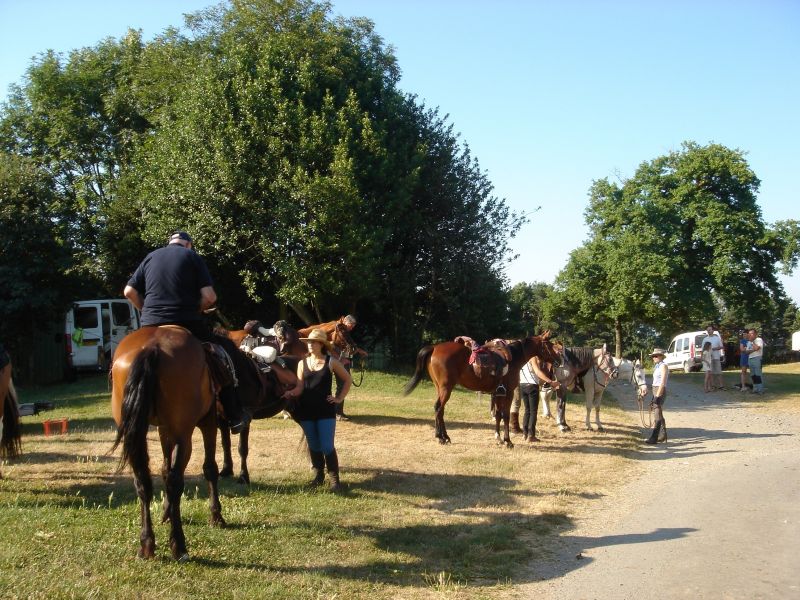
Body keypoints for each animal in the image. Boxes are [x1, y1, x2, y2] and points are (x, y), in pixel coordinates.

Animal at [108, 326, 223, 560]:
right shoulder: (208, 421)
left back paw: (146, 544)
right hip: (183, 433)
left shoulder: (164, 428)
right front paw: (216, 516)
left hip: (138, 434)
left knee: (143, 481)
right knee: (175, 481)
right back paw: (179, 545)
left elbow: (163, 468)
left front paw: (166, 512)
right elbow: (210, 468)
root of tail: (152, 347)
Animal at [400, 332, 564, 446]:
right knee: (439, 408)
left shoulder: (498, 393)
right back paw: (440, 437)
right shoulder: (508, 393)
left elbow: (497, 415)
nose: (559, 360)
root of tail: (434, 348)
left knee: (440, 410)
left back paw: (444, 437)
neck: (513, 359)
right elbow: (505, 415)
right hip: (446, 388)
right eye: (549, 345)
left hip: (440, 388)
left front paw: (499, 439)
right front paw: (508, 441)